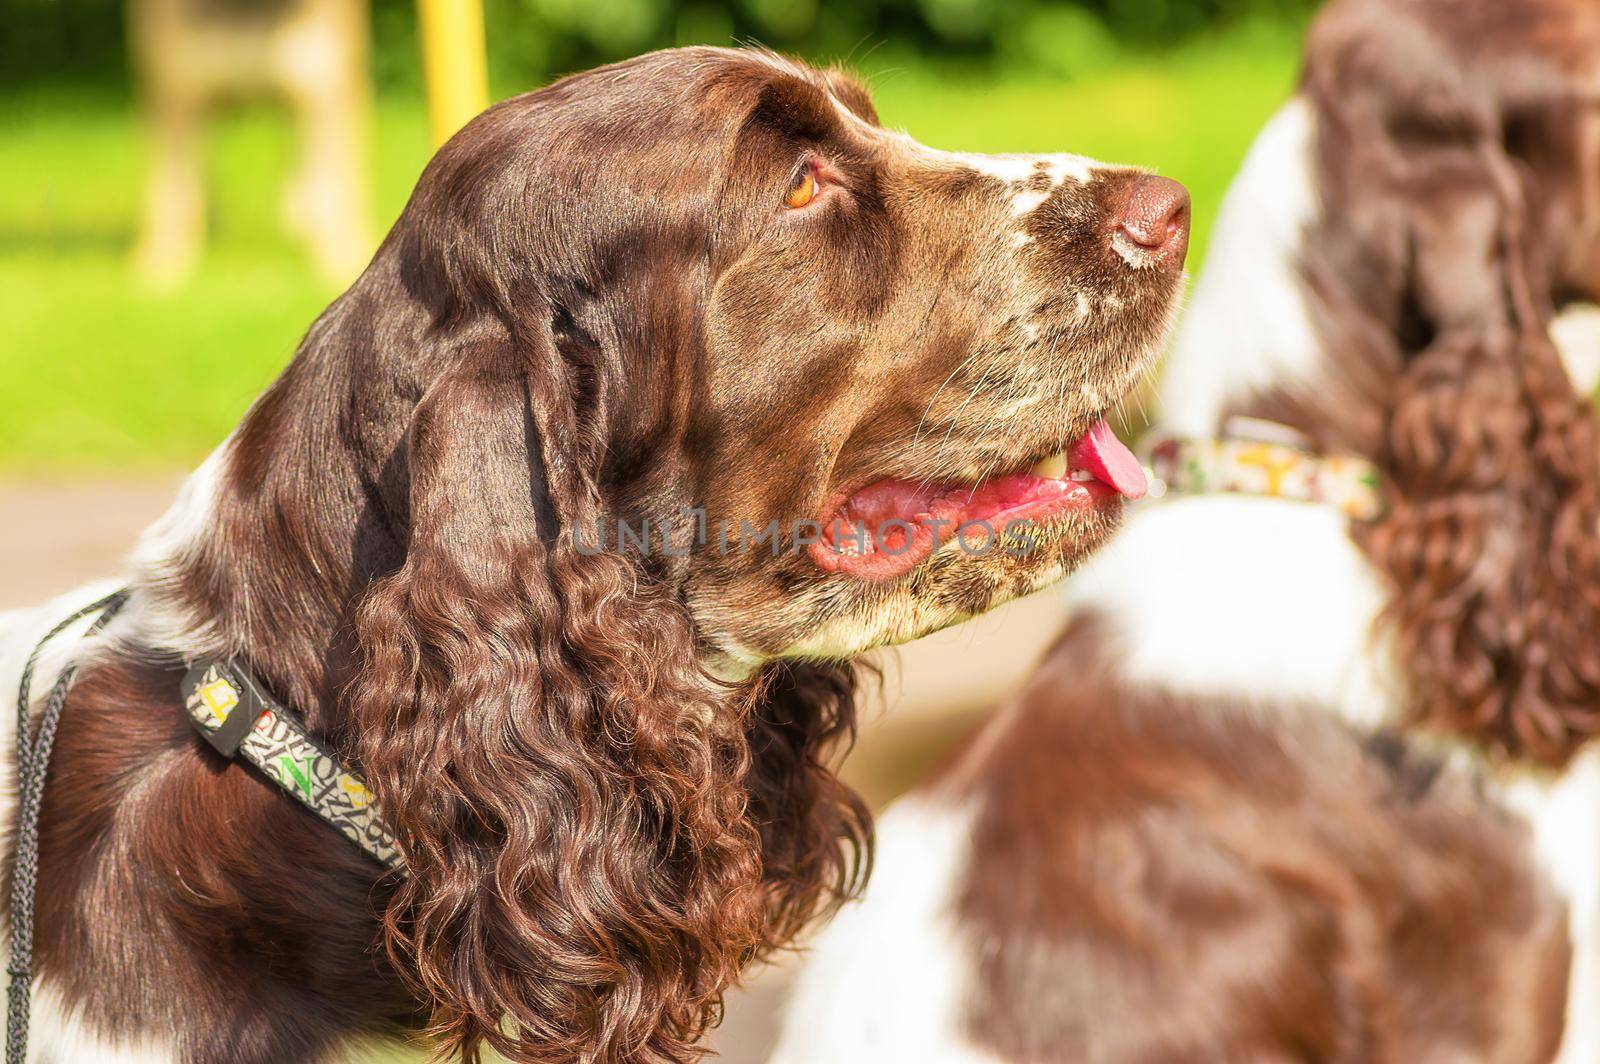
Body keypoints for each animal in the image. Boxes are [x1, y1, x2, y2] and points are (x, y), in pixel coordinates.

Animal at [128, 0, 371, 286]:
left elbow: (335, 186)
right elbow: (172, 190)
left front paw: (342, 257)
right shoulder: (177, 93)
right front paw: (162, 263)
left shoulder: (326, 86)